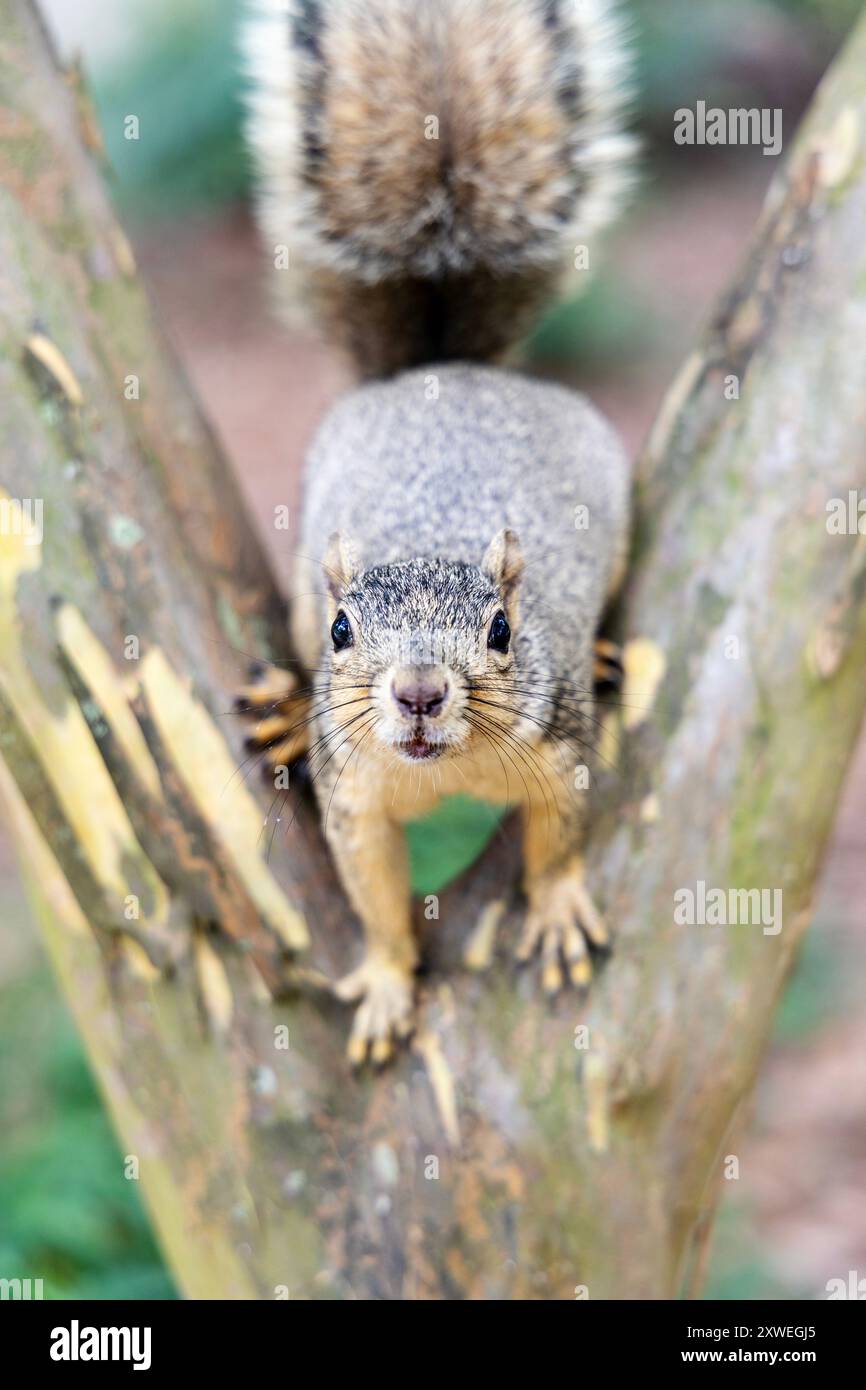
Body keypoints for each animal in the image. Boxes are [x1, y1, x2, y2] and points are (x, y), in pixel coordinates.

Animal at [238, 0, 636, 1066]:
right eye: (345, 630)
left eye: (501, 629)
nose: (418, 693)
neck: (447, 770)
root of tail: (441, 372)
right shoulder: (353, 798)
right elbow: (373, 895)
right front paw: (383, 982)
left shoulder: (560, 744)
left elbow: (562, 832)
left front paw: (559, 906)